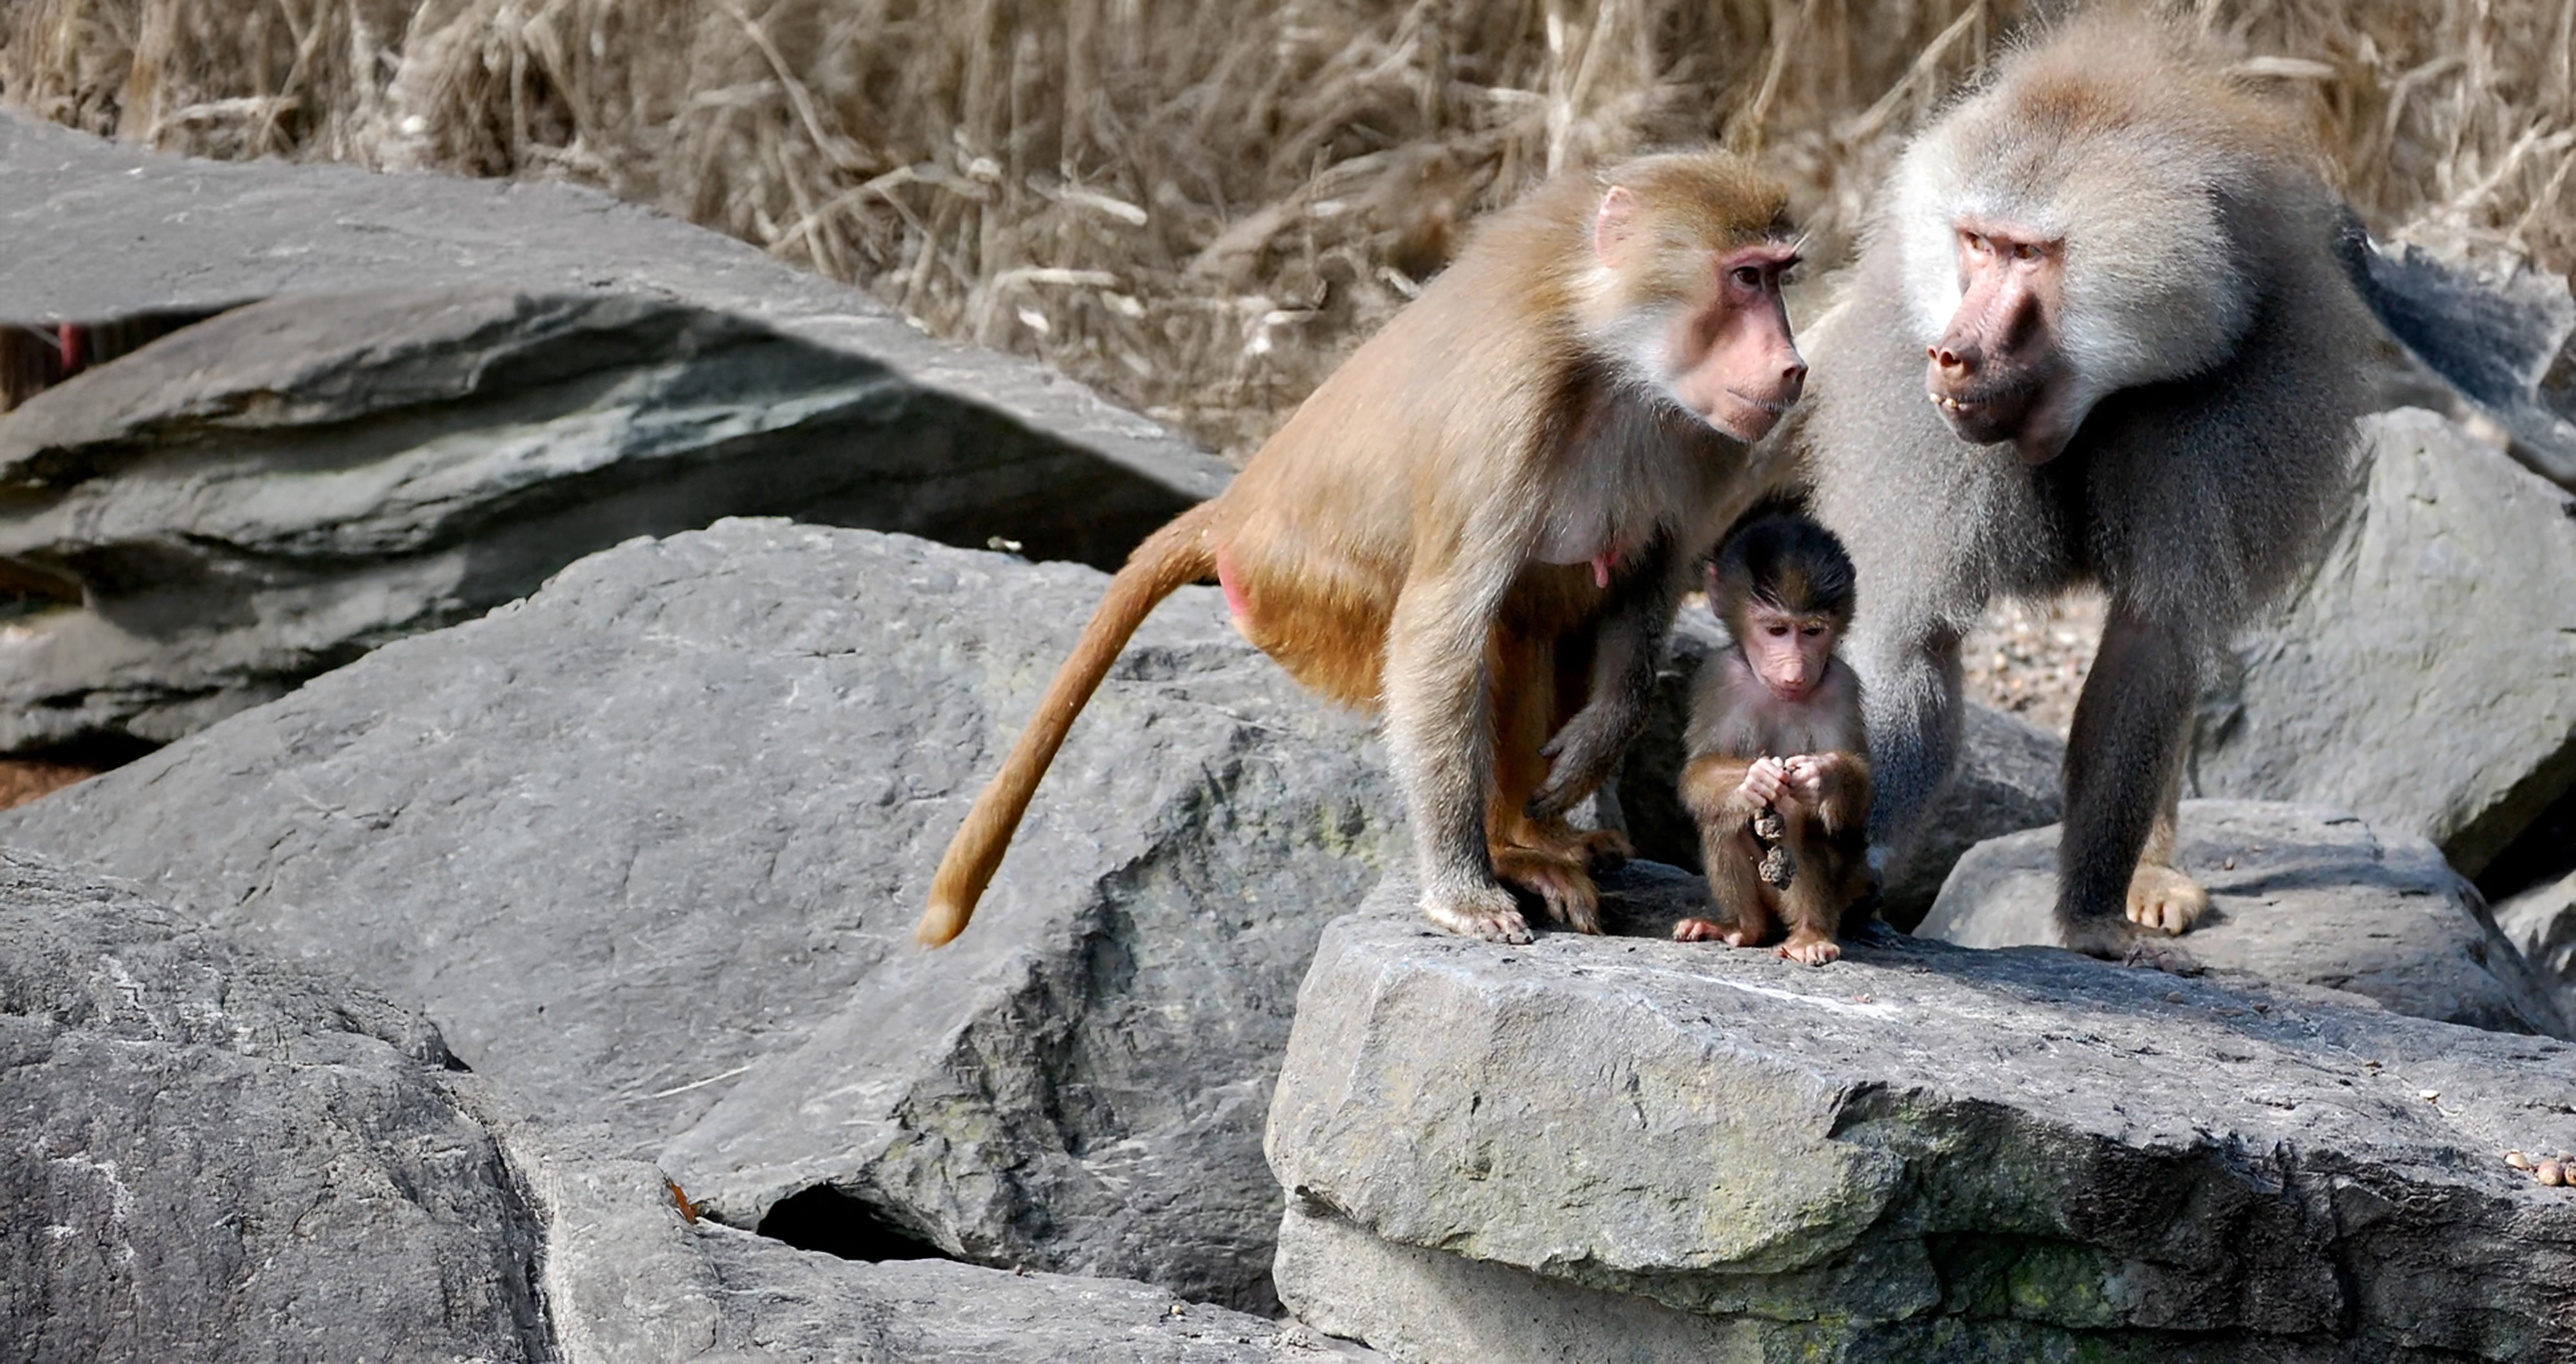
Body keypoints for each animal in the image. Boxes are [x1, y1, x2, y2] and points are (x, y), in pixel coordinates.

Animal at [919, 150, 1808, 949]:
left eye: (1780, 277)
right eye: (1744, 278)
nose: (1793, 368)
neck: (1609, 350)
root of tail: (1236, 511)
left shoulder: (1705, 441)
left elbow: (1645, 583)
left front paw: (1595, 744)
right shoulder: (1507, 411)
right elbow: (1441, 630)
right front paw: (1461, 893)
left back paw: (1543, 839)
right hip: (1305, 600)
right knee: (1488, 634)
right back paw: (1513, 852)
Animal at [1672, 510, 1871, 965]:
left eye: (1812, 632)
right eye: (1778, 630)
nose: (1796, 670)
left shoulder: (1841, 685)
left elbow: (1858, 799)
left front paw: (1823, 775)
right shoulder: (1719, 678)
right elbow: (1699, 772)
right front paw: (1754, 779)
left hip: (1849, 886)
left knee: (1798, 817)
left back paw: (1809, 935)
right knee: (1722, 815)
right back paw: (1742, 928)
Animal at [1794, 11, 2378, 970]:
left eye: (2029, 254)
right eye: (1976, 242)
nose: (1950, 353)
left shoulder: (2225, 408)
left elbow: (2152, 645)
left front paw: (2097, 918)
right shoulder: (1924, 425)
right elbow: (1910, 640)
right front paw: (1845, 870)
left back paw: (2152, 876)